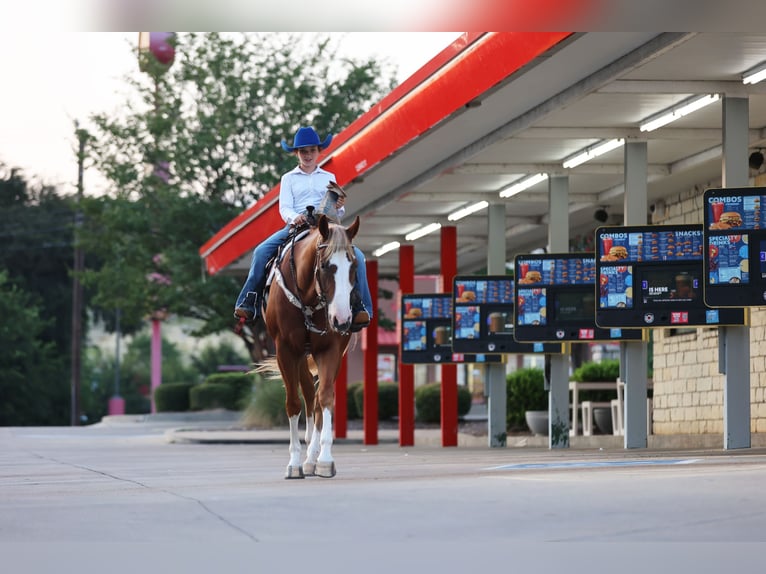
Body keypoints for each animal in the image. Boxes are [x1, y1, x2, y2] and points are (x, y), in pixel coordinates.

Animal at [262, 213, 361, 479]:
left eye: (354, 266)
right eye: (326, 265)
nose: (342, 319)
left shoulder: (330, 349)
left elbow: (325, 397)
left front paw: (325, 459)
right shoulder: (286, 350)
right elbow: (293, 403)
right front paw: (294, 463)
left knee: (315, 399)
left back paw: (312, 456)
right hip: (299, 357)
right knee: (307, 394)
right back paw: (305, 456)